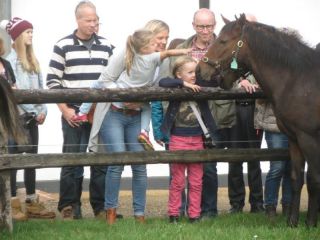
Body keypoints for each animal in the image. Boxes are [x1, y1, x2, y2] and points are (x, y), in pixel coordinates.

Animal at [196, 14, 320, 228]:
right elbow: (296, 179)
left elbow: (313, 180)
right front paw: (292, 222)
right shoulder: (295, 140)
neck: (300, 80)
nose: (199, 69)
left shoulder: (310, 139)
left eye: (223, 41)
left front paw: (311, 223)